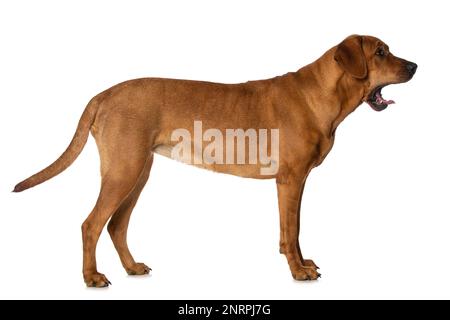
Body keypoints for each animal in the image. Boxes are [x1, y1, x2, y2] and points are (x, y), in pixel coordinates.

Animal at [13, 35, 414, 288]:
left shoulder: (292, 183)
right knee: (91, 224)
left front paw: (299, 262)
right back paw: (92, 277)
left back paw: (132, 268)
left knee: (116, 226)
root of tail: (102, 95)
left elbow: (290, 231)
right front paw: (298, 272)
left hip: (138, 173)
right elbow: (293, 229)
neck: (323, 92)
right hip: (124, 172)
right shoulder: (290, 179)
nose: (414, 65)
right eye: (380, 52)